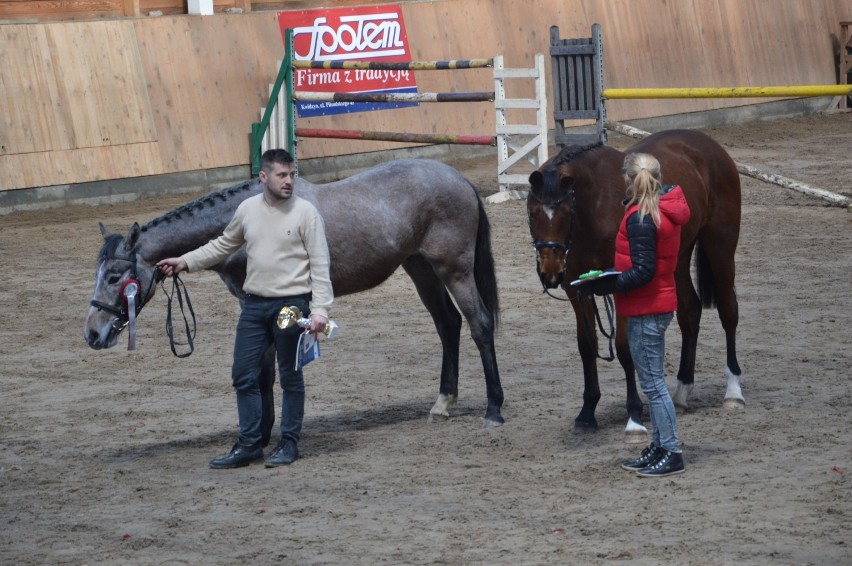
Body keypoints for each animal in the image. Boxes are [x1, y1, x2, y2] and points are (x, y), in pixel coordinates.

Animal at [85, 160, 506, 440]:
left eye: (115, 276)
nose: (93, 334)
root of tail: (460, 180)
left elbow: (266, 372)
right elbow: (262, 370)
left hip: (454, 270)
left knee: (479, 325)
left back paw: (494, 410)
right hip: (420, 268)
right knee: (448, 325)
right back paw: (443, 403)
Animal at [528, 131, 744, 442]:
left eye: (566, 211)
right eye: (533, 213)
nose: (550, 273)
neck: (593, 206)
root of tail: (708, 145)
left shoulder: (620, 282)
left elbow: (624, 348)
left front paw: (633, 415)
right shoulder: (576, 288)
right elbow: (587, 345)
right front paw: (587, 412)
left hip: (720, 246)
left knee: (729, 311)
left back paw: (733, 392)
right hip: (677, 258)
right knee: (690, 312)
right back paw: (681, 391)